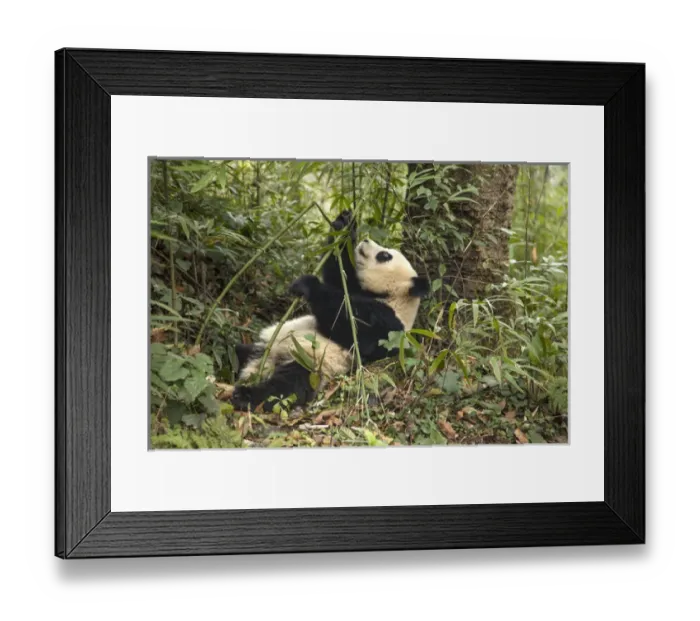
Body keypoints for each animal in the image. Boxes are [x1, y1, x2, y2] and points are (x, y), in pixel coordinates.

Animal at [230, 210, 429, 412]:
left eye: (384, 255)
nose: (365, 240)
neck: (393, 296)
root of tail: (267, 362)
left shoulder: (389, 327)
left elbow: (353, 329)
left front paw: (308, 285)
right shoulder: (357, 290)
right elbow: (340, 277)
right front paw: (345, 223)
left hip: (312, 362)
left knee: (286, 387)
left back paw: (246, 396)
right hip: (265, 346)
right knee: (238, 351)